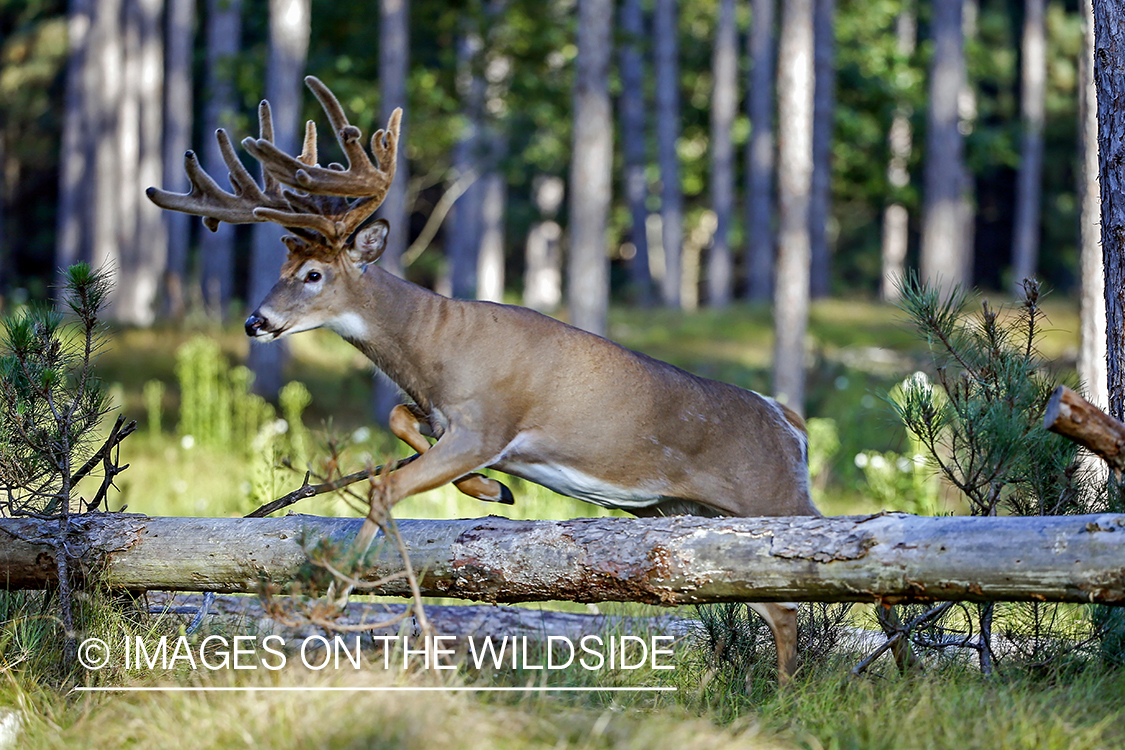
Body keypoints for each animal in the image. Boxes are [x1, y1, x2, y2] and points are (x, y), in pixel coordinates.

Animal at [147, 79, 819, 683]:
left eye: (314, 274)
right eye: (284, 266)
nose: (255, 321)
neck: (437, 344)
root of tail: (790, 421)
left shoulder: (488, 423)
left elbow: (385, 490)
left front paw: (332, 602)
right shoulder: (445, 417)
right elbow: (397, 418)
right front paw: (494, 491)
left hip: (775, 495)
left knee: (816, 582)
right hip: (689, 514)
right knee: (779, 605)